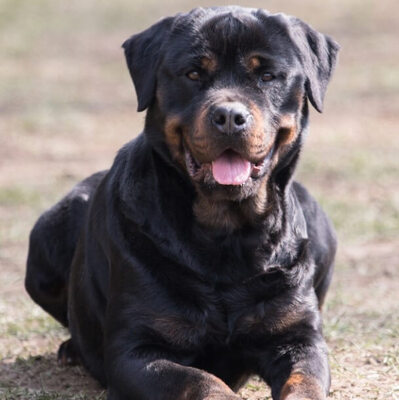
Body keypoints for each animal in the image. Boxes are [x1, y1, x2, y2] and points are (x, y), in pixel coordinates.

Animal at [25, 7, 340, 400]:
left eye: (267, 75)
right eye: (193, 73)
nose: (230, 116)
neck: (226, 233)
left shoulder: (299, 338)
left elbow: (304, 383)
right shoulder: (136, 350)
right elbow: (200, 380)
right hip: (47, 239)